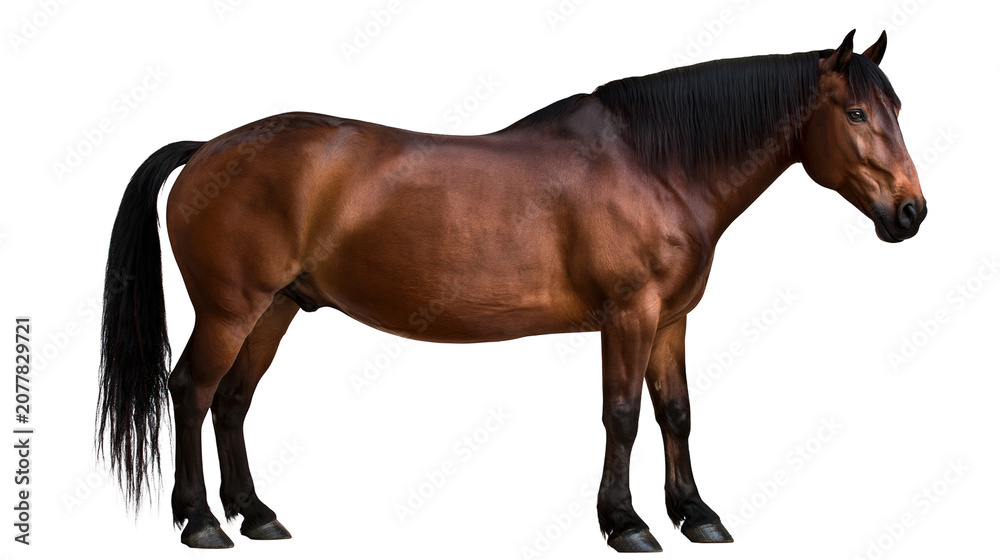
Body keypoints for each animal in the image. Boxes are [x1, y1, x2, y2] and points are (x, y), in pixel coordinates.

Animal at [97, 30, 925, 551]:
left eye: (897, 110)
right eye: (856, 111)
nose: (910, 213)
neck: (655, 163)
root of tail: (207, 149)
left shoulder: (671, 320)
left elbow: (677, 414)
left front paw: (697, 514)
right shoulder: (629, 317)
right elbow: (623, 416)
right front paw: (626, 524)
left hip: (275, 311)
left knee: (233, 401)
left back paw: (257, 514)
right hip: (230, 311)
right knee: (192, 391)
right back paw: (200, 521)